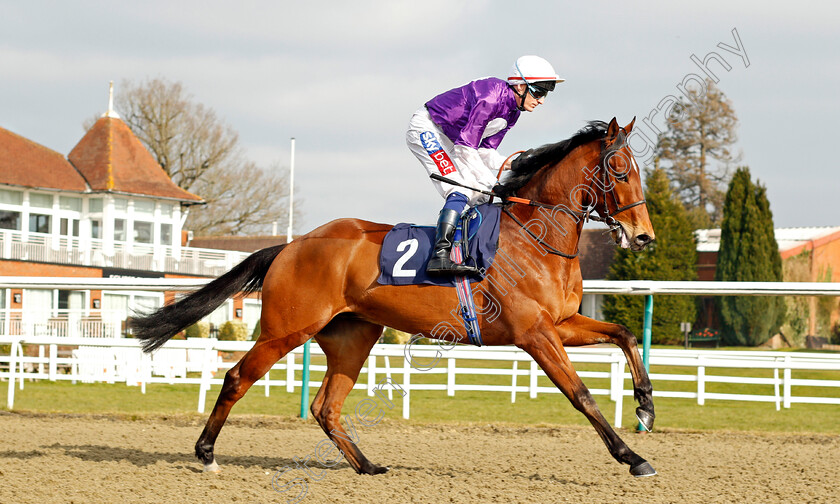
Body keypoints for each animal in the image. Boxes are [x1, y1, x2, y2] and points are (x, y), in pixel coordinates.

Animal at [131, 116, 660, 478]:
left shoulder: (562, 323)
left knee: (326, 406)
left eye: (639, 171)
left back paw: (366, 465)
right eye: (618, 170)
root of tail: (292, 244)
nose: (644, 237)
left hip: (353, 336)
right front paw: (633, 457)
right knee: (237, 377)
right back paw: (206, 453)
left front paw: (645, 406)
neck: (535, 236)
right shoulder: (534, 333)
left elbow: (625, 333)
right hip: (287, 329)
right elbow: (582, 395)